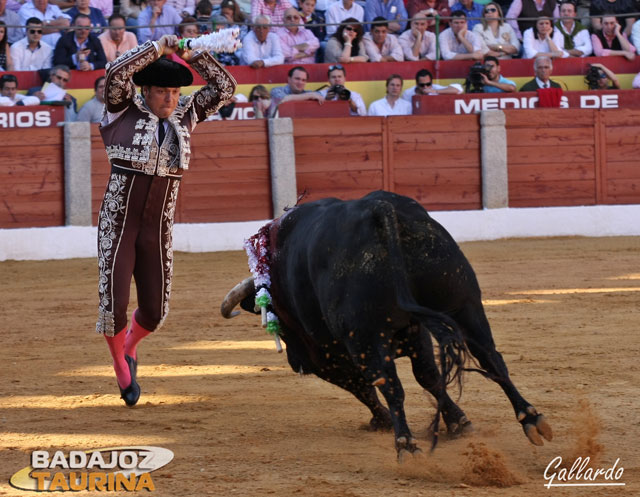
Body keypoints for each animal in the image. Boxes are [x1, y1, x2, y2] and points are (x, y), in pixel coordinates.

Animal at [221, 191, 552, 458]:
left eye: (282, 326)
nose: (295, 363)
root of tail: (378, 210)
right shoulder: (416, 332)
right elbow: (429, 377)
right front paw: (458, 422)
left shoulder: (329, 356)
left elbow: (364, 387)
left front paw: (381, 420)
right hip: (463, 304)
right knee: (491, 357)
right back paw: (531, 419)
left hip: (365, 337)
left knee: (391, 386)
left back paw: (406, 445)